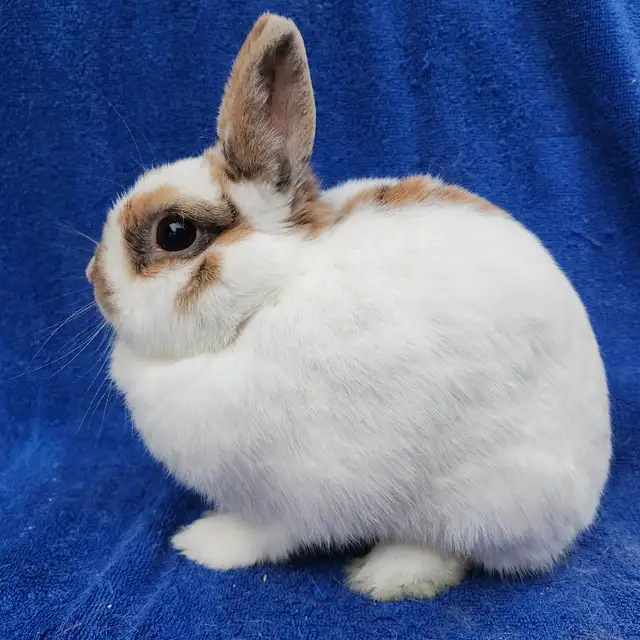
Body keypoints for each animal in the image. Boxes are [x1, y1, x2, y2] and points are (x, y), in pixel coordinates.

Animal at [87, 13, 611, 600]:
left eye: (174, 233)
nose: (95, 281)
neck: (265, 298)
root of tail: (587, 494)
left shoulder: (288, 495)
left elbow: (263, 534)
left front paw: (203, 544)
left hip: (482, 501)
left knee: (455, 548)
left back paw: (388, 574)